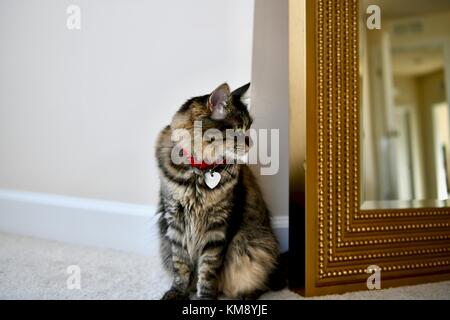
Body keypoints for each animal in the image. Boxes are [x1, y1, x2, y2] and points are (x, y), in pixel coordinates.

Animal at [155, 82, 282, 300]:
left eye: (248, 128)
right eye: (237, 130)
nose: (251, 143)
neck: (199, 172)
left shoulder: (217, 228)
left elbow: (208, 270)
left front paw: (205, 297)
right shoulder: (176, 222)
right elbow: (181, 265)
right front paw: (177, 292)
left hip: (255, 247)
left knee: (261, 283)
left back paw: (244, 295)